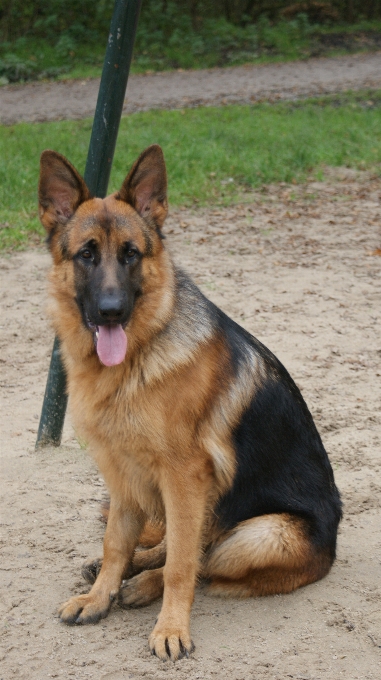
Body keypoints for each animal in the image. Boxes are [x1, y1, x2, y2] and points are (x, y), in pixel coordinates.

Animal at [39, 143, 342, 660]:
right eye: (86, 255)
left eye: (131, 254)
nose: (112, 312)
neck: (136, 359)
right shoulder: (122, 474)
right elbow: (115, 543)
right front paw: (100, 595)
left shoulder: (184, 477)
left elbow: (184, 565)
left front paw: (170, 628)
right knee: (185, 543)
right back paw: (135, 569)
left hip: (260, 534)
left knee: (205, 558)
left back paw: (145, 585)